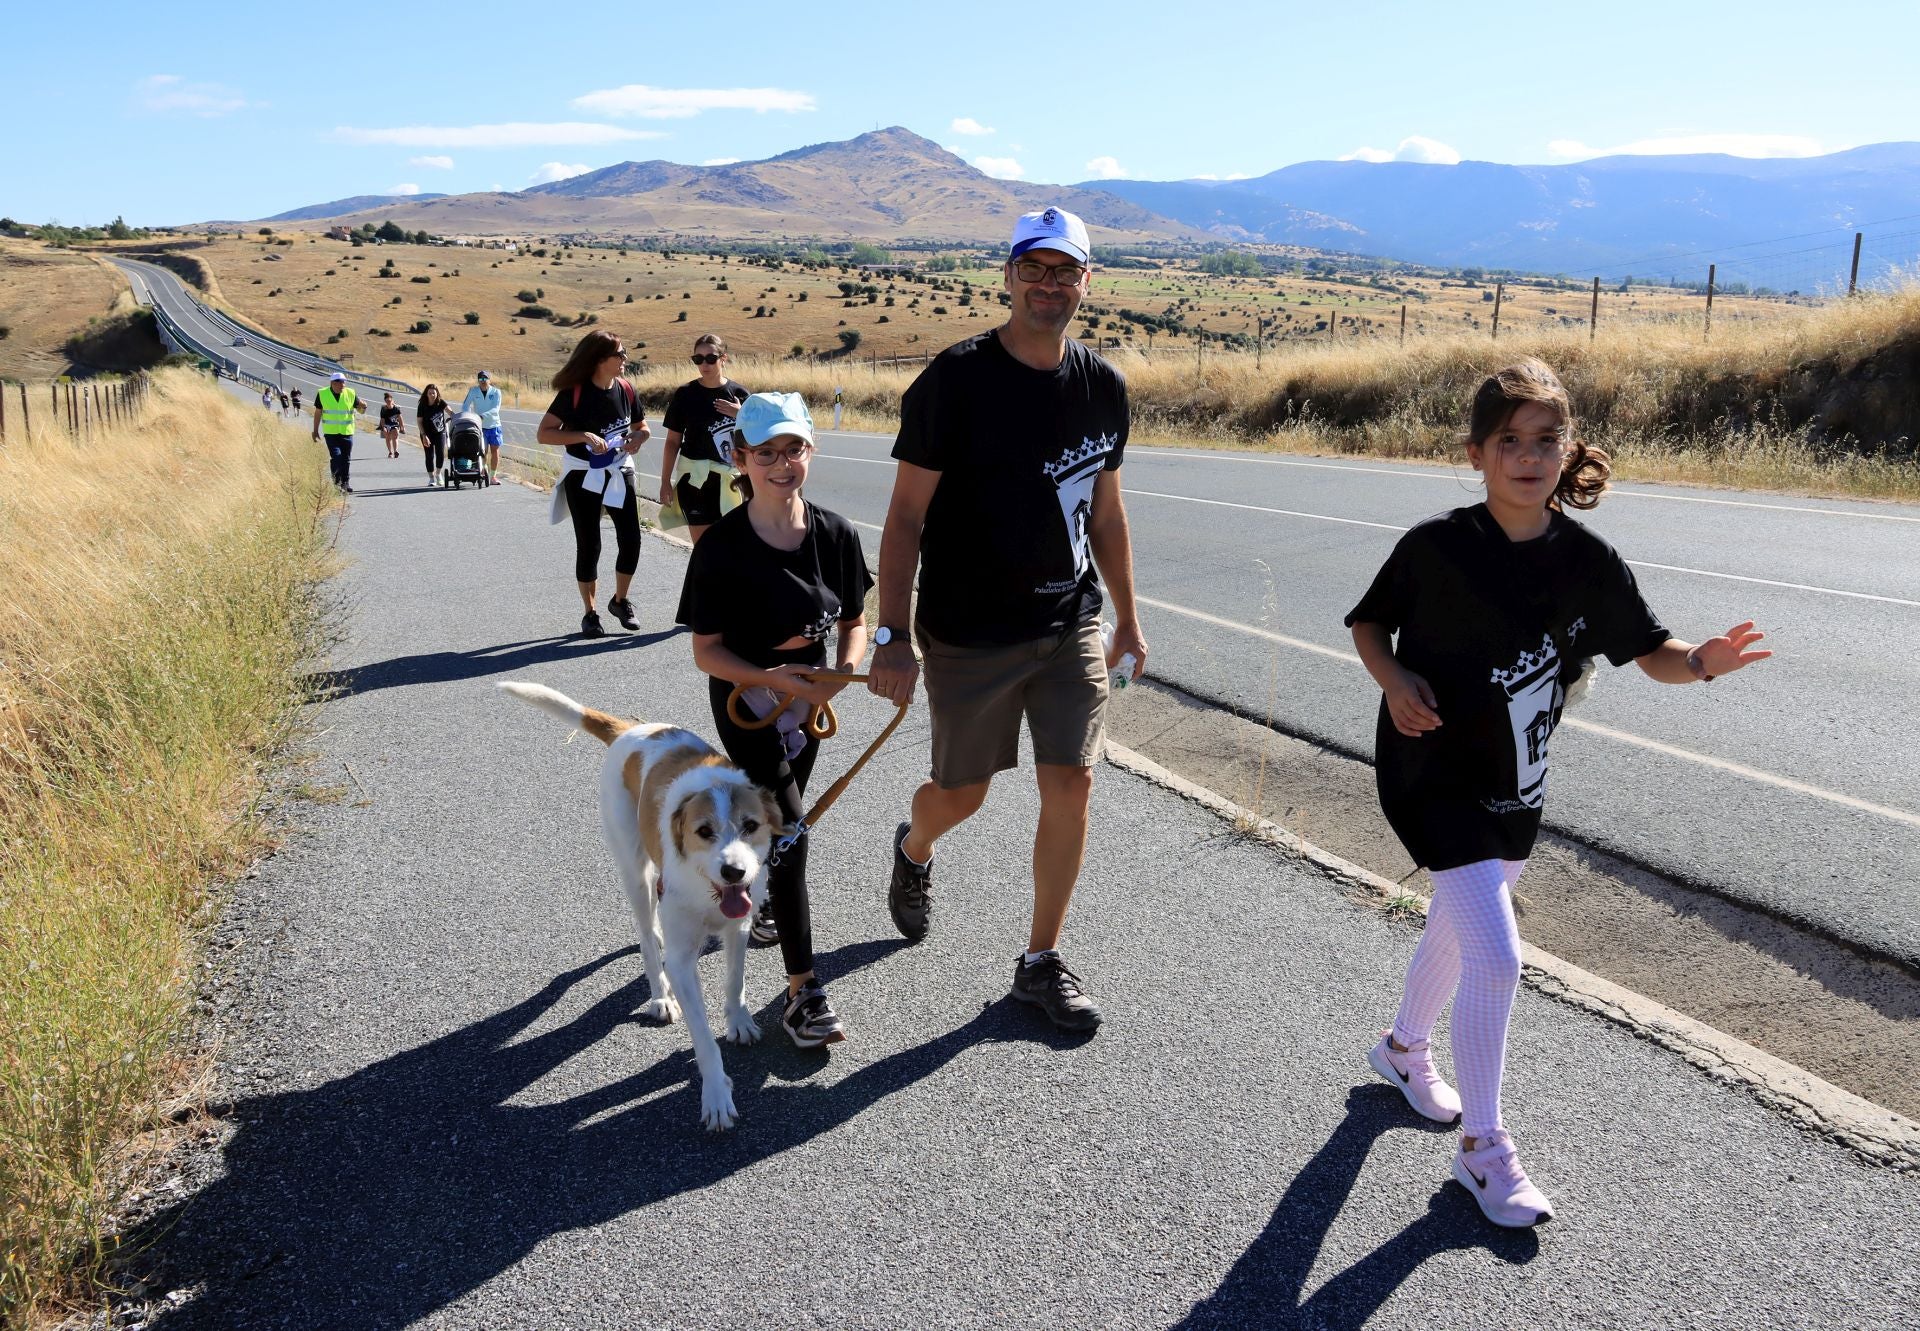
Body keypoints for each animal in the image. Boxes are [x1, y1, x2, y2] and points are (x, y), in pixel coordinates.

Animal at [506, 679, 791, 1129]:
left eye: (751, 826)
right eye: (704, 831)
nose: (734, 872)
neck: (704, 888)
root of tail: (630, 729)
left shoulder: (738, 927)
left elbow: (735, 979)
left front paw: (739, 1020)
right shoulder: (683, 958)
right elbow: (703, 1037)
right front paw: (715, 1095)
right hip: (634, 871)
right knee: (644, 935)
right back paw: (660, 995)